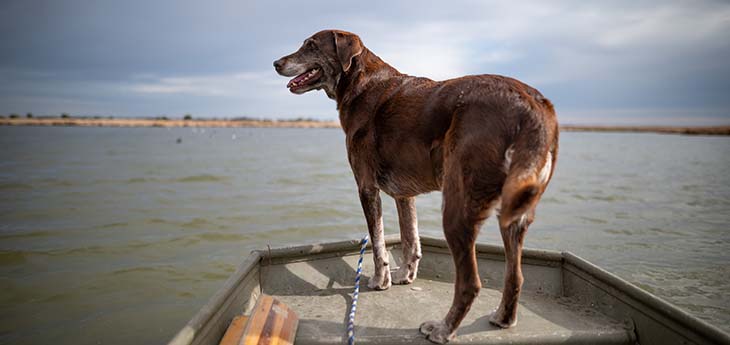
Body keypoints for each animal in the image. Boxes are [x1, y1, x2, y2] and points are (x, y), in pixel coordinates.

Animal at [272, 30, 556, 344]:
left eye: (310, 46)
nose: (276, 63)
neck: (358, 83)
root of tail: (531, 104)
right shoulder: (404, 193)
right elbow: (410, 238)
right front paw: (404, 276)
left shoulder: (366, 186)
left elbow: (378, 243)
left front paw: (380, 281)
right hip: (515, 211)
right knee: (515, 275)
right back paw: (502, 319)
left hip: (457, 207)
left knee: (470, 283)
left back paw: (443, 329)